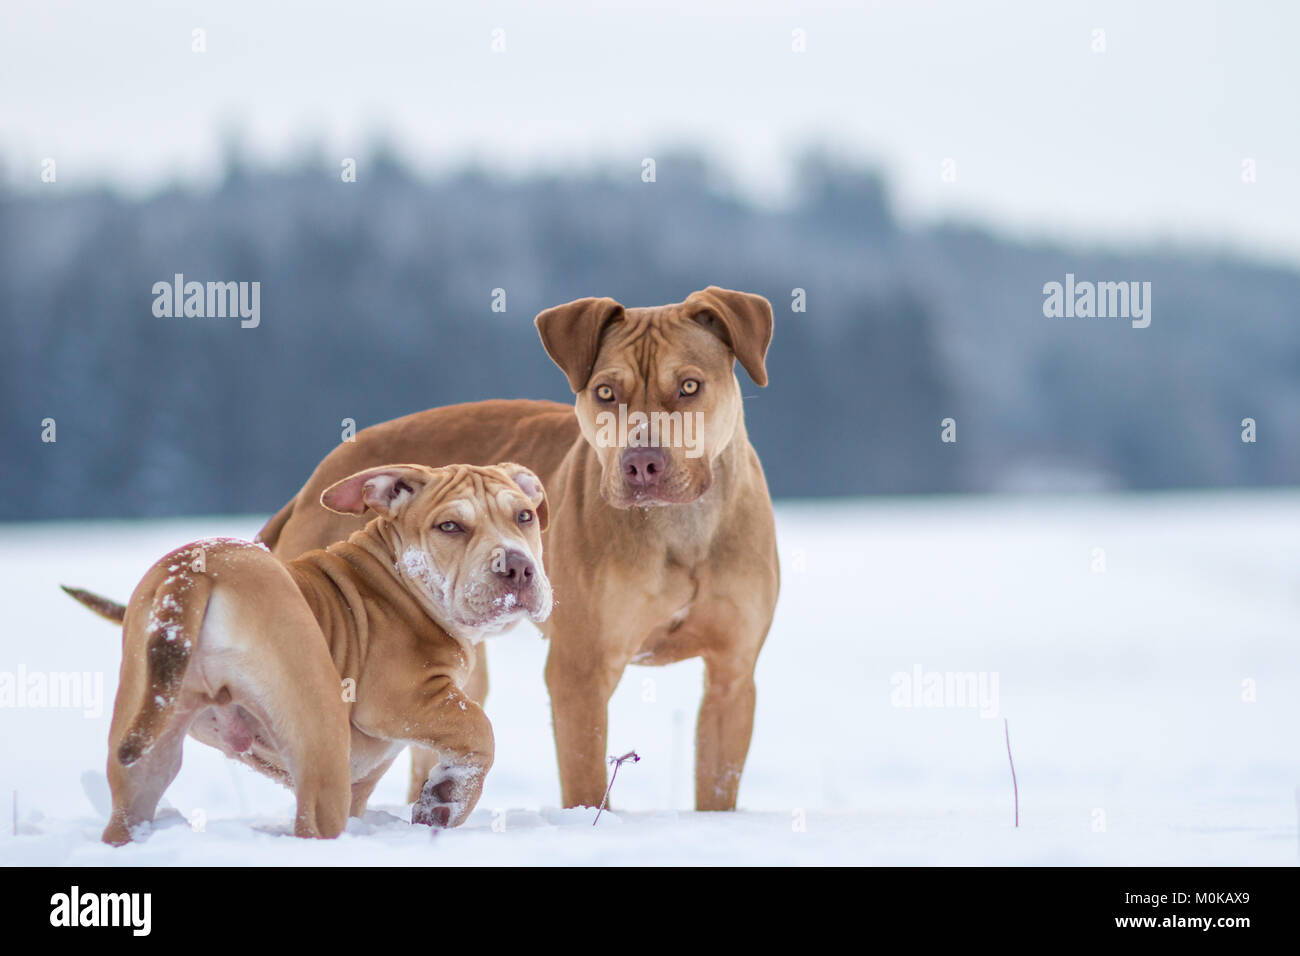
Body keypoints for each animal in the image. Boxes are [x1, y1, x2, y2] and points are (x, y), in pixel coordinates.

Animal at [63, 463, 551, 842]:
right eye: (450, 526)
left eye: (524, 516)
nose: (517, 566)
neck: (396, 579)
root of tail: (196, 573)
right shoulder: (398, 698)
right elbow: (478, 728)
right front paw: (447, 798)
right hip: (321, 733)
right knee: (315, 825)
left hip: (149, 736)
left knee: (127, 811)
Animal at [258, 287, 774, 811]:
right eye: (605, 393)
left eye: (690, 386)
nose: (641, 463)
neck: (682, 529)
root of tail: (318, 479)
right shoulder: (580, 670)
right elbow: (586, 777)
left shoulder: (732, 674)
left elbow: (718, 781)